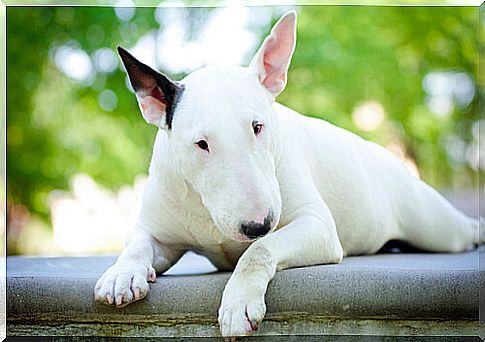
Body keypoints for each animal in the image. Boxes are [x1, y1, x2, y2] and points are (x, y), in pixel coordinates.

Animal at [93, 11, 480, 340]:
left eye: (257, 126)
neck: (207, 210)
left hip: (434, 226)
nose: (259, 223)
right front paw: (121, 274)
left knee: (460, 231)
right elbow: (137, 243)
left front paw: (238, 303)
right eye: (201, 144)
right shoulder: (160, 231)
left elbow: (259, 251)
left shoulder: (317, 227)